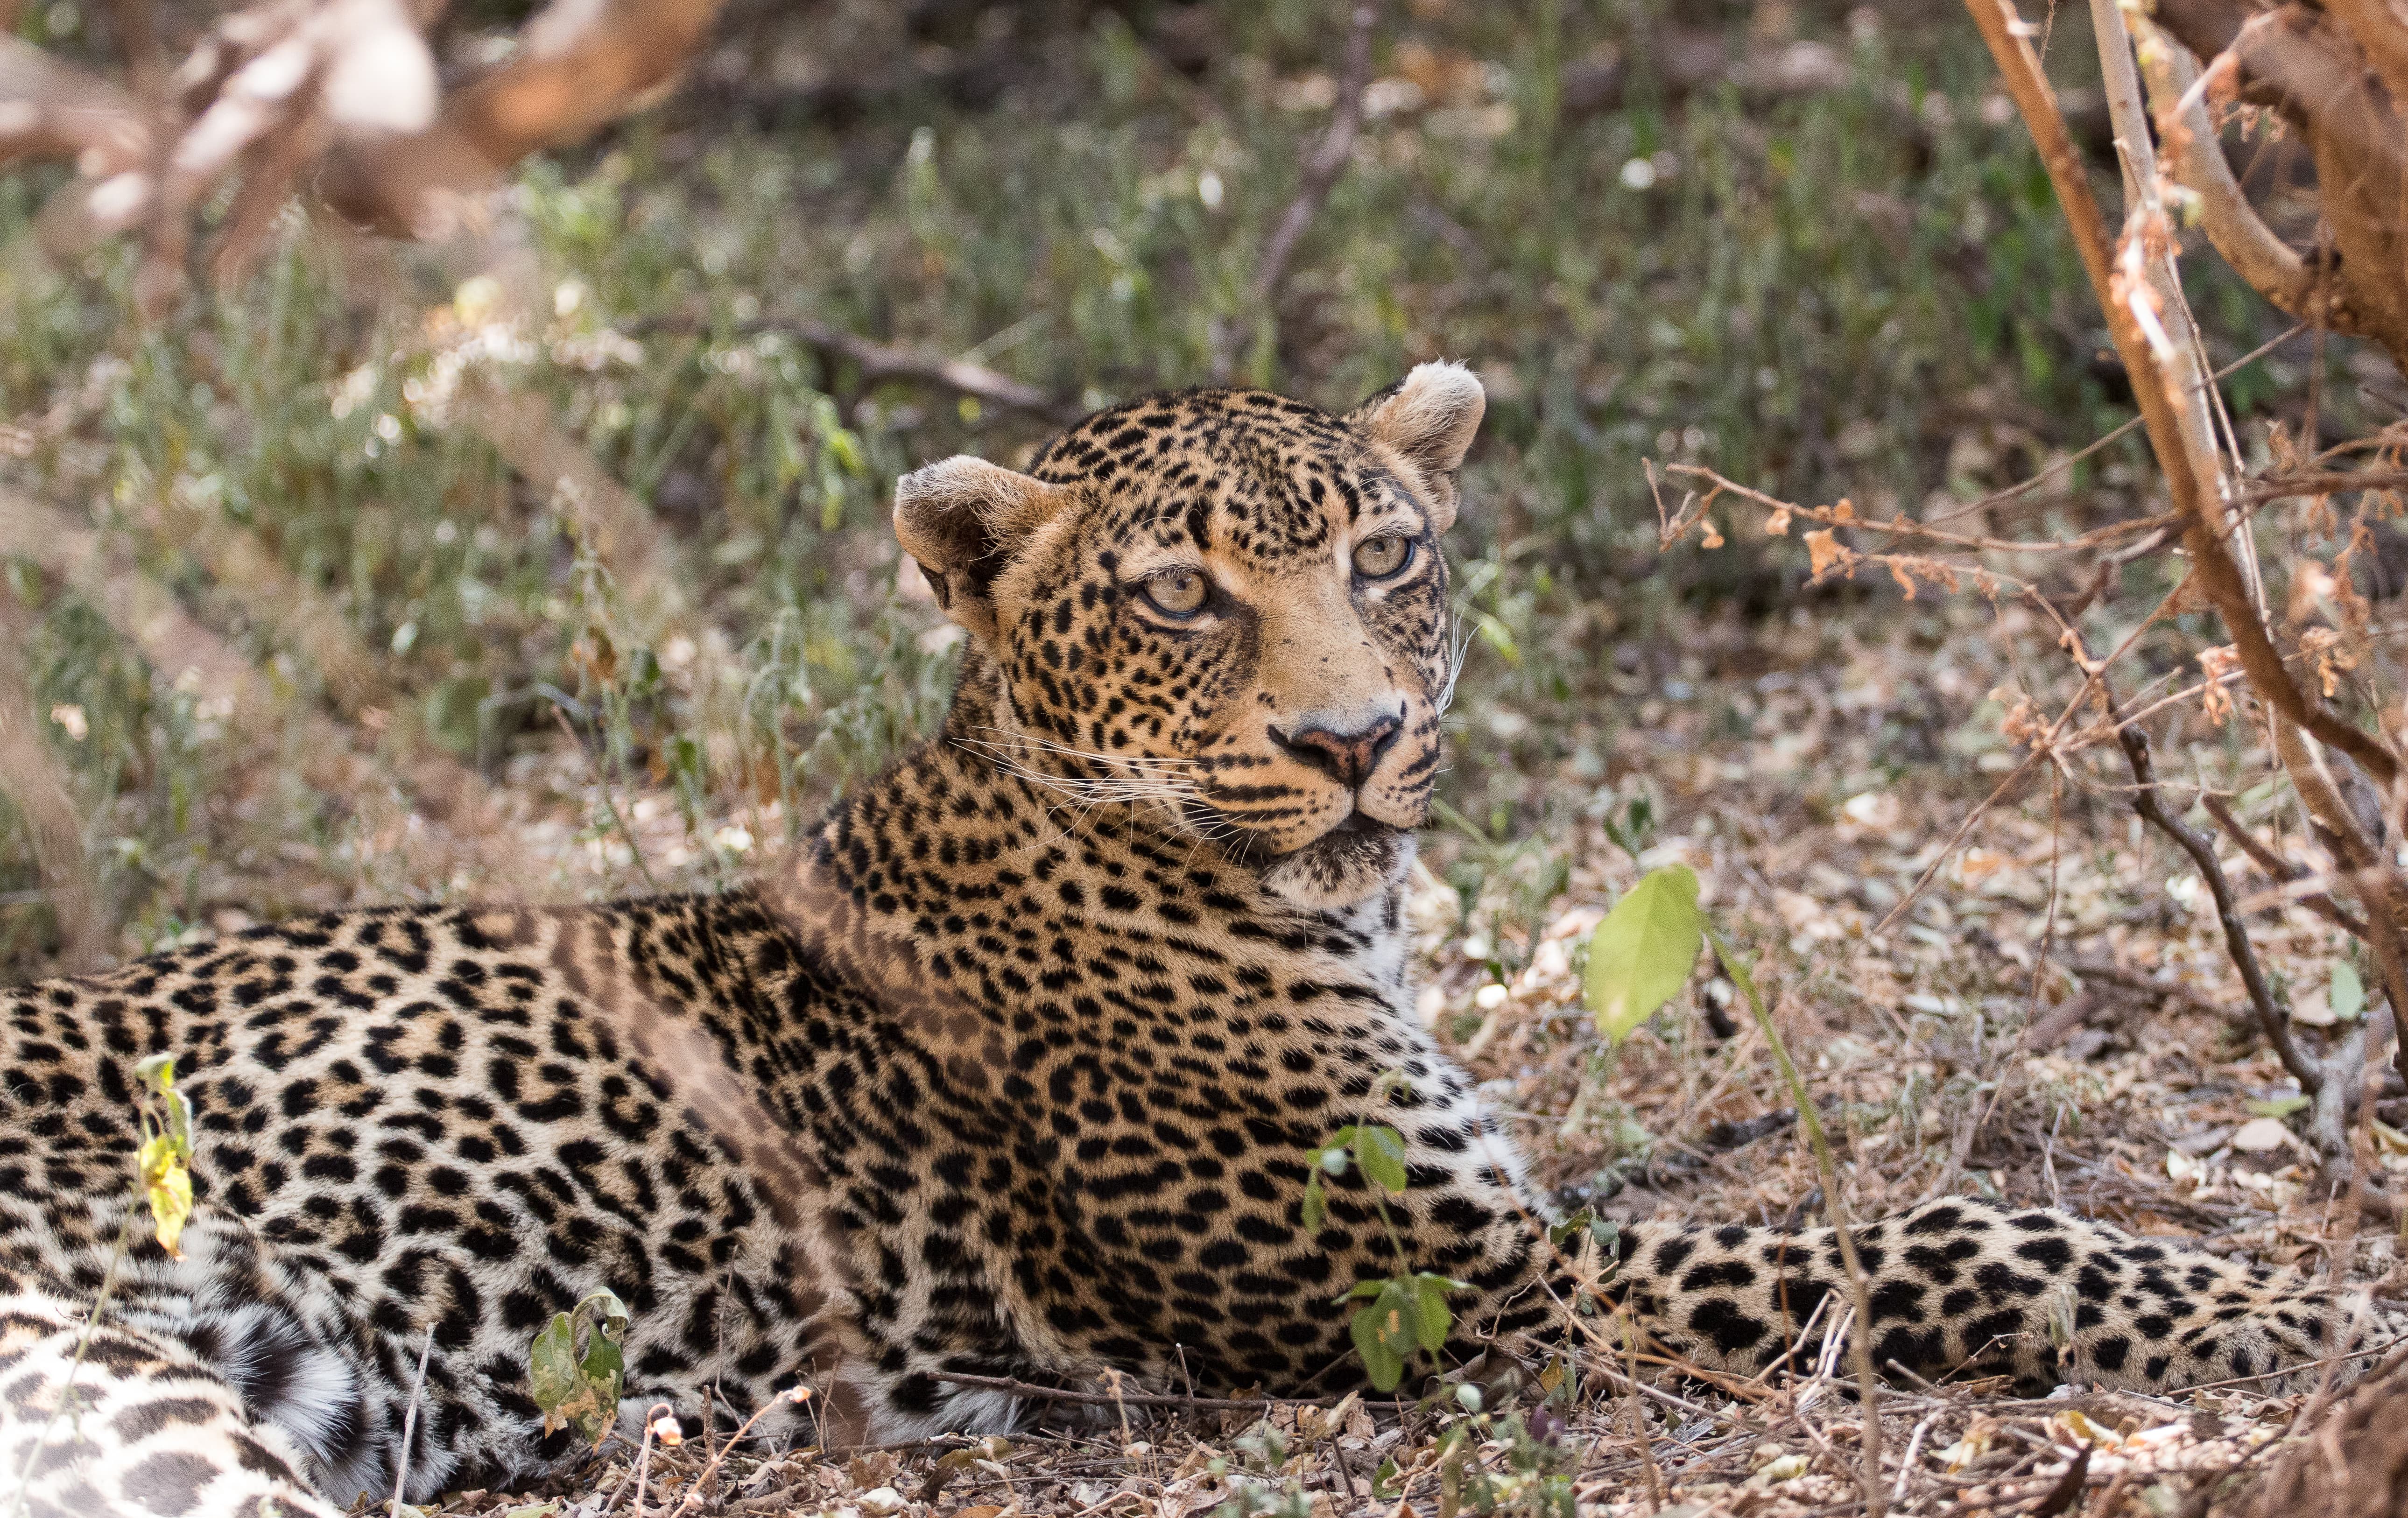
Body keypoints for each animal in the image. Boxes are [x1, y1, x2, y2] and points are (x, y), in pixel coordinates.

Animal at [1, 363, 2400, 1517]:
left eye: (1386, 552)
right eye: (1180, 595)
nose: (1353, 744)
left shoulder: (1511, 1219)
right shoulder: (1459, 1286)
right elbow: (1938, 1231)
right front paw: (2290, 1303)